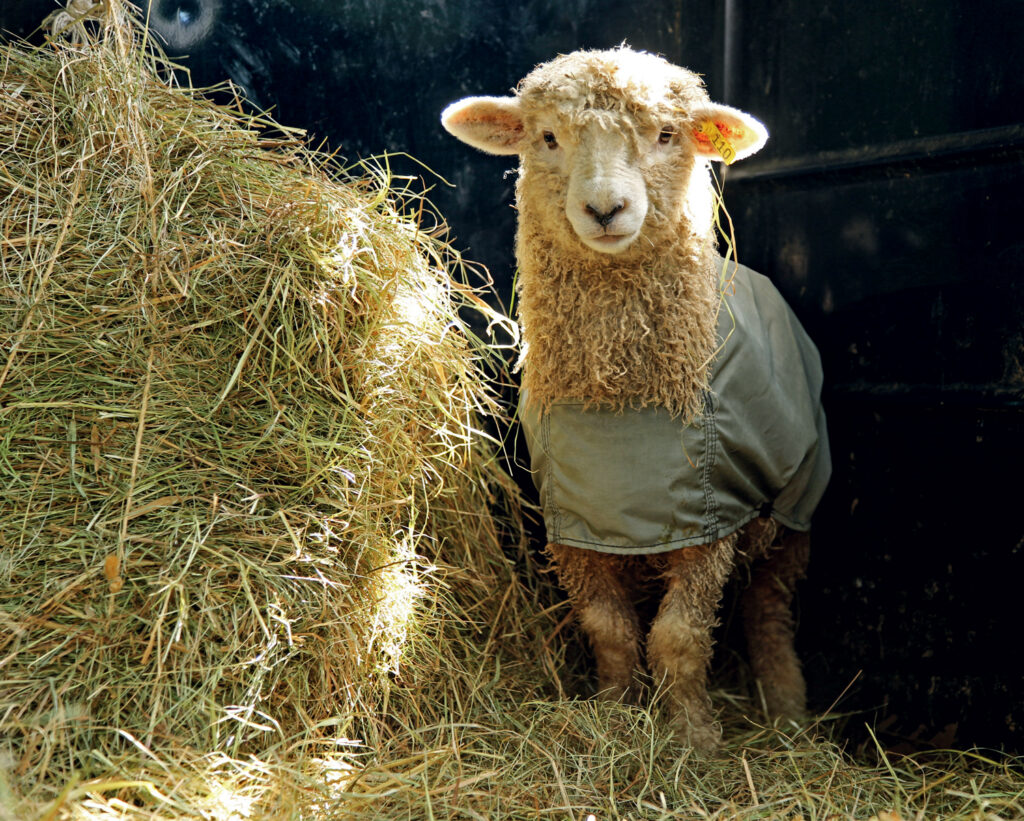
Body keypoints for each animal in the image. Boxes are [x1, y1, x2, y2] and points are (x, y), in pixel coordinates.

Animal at [442, 46, 830, 751]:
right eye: (548, 137)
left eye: (667, 135)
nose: (604, 209)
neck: (620, 397)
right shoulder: (576, 525)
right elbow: (611, 631)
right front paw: (614, 715)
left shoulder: (712, 524)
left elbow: (678, 638)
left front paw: (695, 739)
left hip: (792, 514)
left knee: (768, 610)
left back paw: (787, 714)